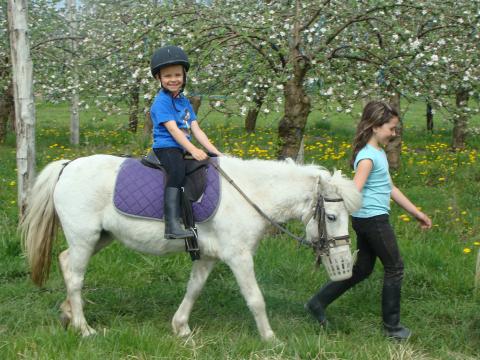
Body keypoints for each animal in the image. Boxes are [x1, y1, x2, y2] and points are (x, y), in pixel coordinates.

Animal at [22, 154, 360, 340]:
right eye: (332, 217)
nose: (345, 265)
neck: (249, 194)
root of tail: (68, 166)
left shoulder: (208, 256)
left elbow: (193, 289)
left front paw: (181, 327)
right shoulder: (238, 257)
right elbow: (255, 299)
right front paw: (270, 338)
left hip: (99, 238)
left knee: (66, 262)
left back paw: (67, 314)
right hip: (84, 237)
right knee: (75, 277)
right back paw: (84, 328)